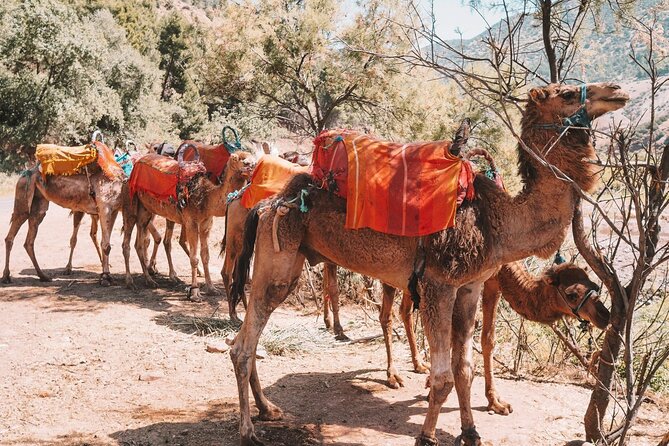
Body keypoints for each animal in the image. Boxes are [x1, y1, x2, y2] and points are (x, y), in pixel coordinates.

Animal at [2, 133, 124, 285]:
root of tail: (26, 172)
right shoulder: (104, 208)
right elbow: (106, 245)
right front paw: (106, 277)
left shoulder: (113, 211)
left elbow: (105, 243)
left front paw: (105, 274)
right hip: (23, 198)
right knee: (10, 236)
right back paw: (6, 276)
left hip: (38, 207)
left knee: (29, 241)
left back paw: (43, 276)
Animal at [122, 150, 254, 301]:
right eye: (242, 161)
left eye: (253, 160)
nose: (253, 167)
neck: (206, 197)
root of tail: (129, 175)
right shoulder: (191, 222)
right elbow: (194, 258)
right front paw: (195, 293)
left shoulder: (206, 224)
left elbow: (205, 256)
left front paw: (211, 288)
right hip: (130, 205)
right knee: (126, 243)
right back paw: (130, 282)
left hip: (145, 212)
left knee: (139, 243)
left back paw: (150, 280)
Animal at [228, 82, 629, 446]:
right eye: (566, 93)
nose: (616, 91)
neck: (497, 222)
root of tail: (267, 204)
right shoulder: (439, 285)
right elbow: (443, 376)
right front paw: (426, 435)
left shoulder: (470, 286)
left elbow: (464, 368)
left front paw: (471, 431)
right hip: (278, 259)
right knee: (241, 347)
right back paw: (248, 430)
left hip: (293, 260)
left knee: (250, 336)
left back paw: (268, 409)